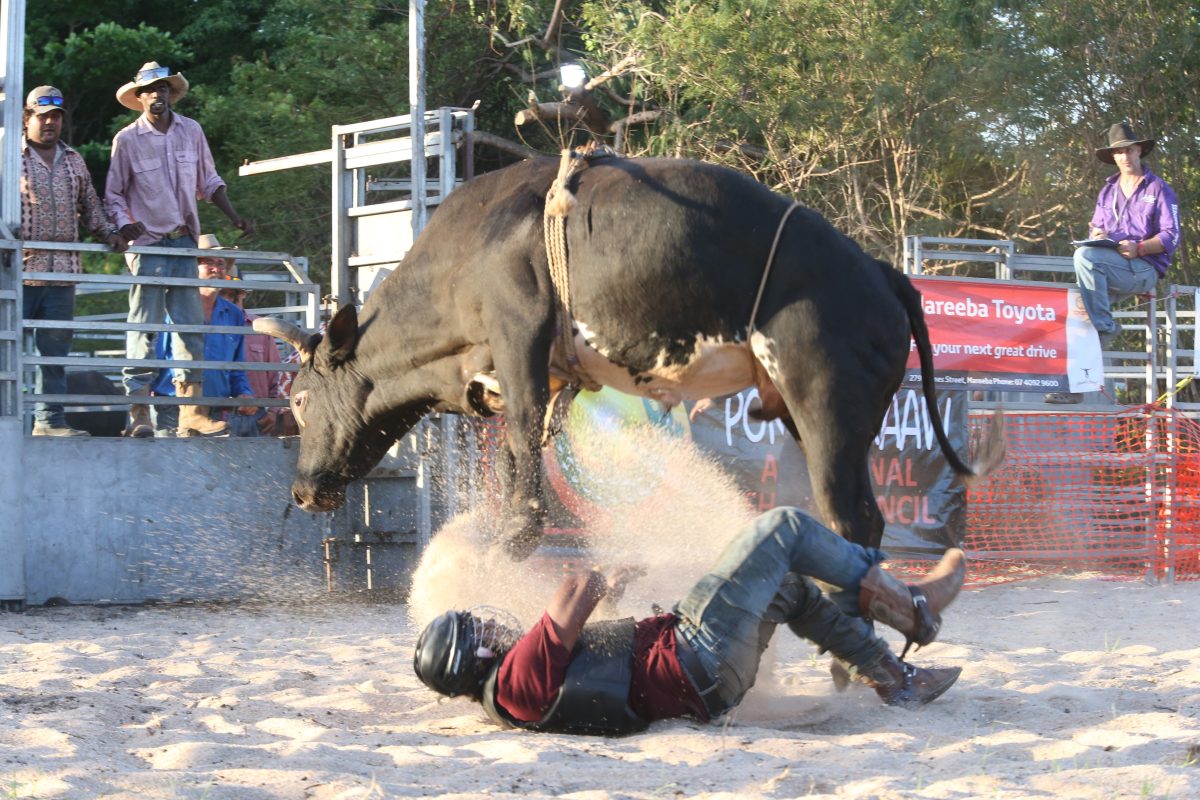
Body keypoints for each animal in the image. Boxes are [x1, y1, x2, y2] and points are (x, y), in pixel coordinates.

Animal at [257, 154, 1004, 560]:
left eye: (299, 399)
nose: (301, 490)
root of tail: (881, 271)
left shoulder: (519, 337)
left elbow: (523, 451)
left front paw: (510, 542)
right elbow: (522, 448)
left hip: (828, 408)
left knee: (854, 518)